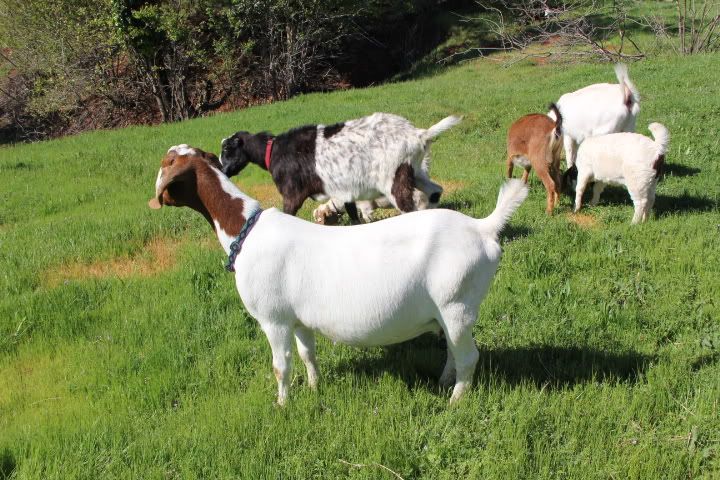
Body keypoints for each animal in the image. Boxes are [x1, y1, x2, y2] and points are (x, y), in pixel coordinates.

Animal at [149, 145, 528, 405]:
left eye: (167, 165)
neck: (246, 229)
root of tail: (482, 227)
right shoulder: (298, 318)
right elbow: (307, 354)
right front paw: (315, 387)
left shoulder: (273, 318)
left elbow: (281, 365)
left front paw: (282, 405)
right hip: (449, 310)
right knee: (452, 348)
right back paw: (443, 382)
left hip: (456, 303)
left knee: (468, 356)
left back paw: (455, 401)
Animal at [219, 113, 460, 224]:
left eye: (227, 149)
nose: (223, 171)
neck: (273, 150)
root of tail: (418, 135)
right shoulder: (345, 193)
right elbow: (354, 218)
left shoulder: (292, 194)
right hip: (414, 172)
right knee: (435, 191)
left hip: (393, 180)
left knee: (410, 207)